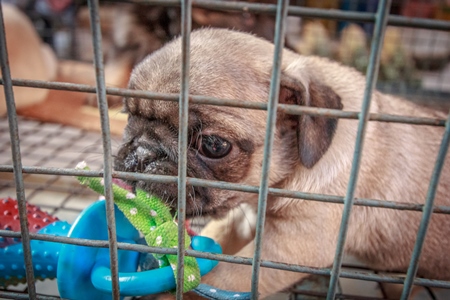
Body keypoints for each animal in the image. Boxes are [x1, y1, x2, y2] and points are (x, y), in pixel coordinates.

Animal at [116, 27, 450, 298]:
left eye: (213, 145)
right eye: (128, 116)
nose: (143, 152)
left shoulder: (289, 245)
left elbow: (220, 277)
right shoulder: (243, 221)